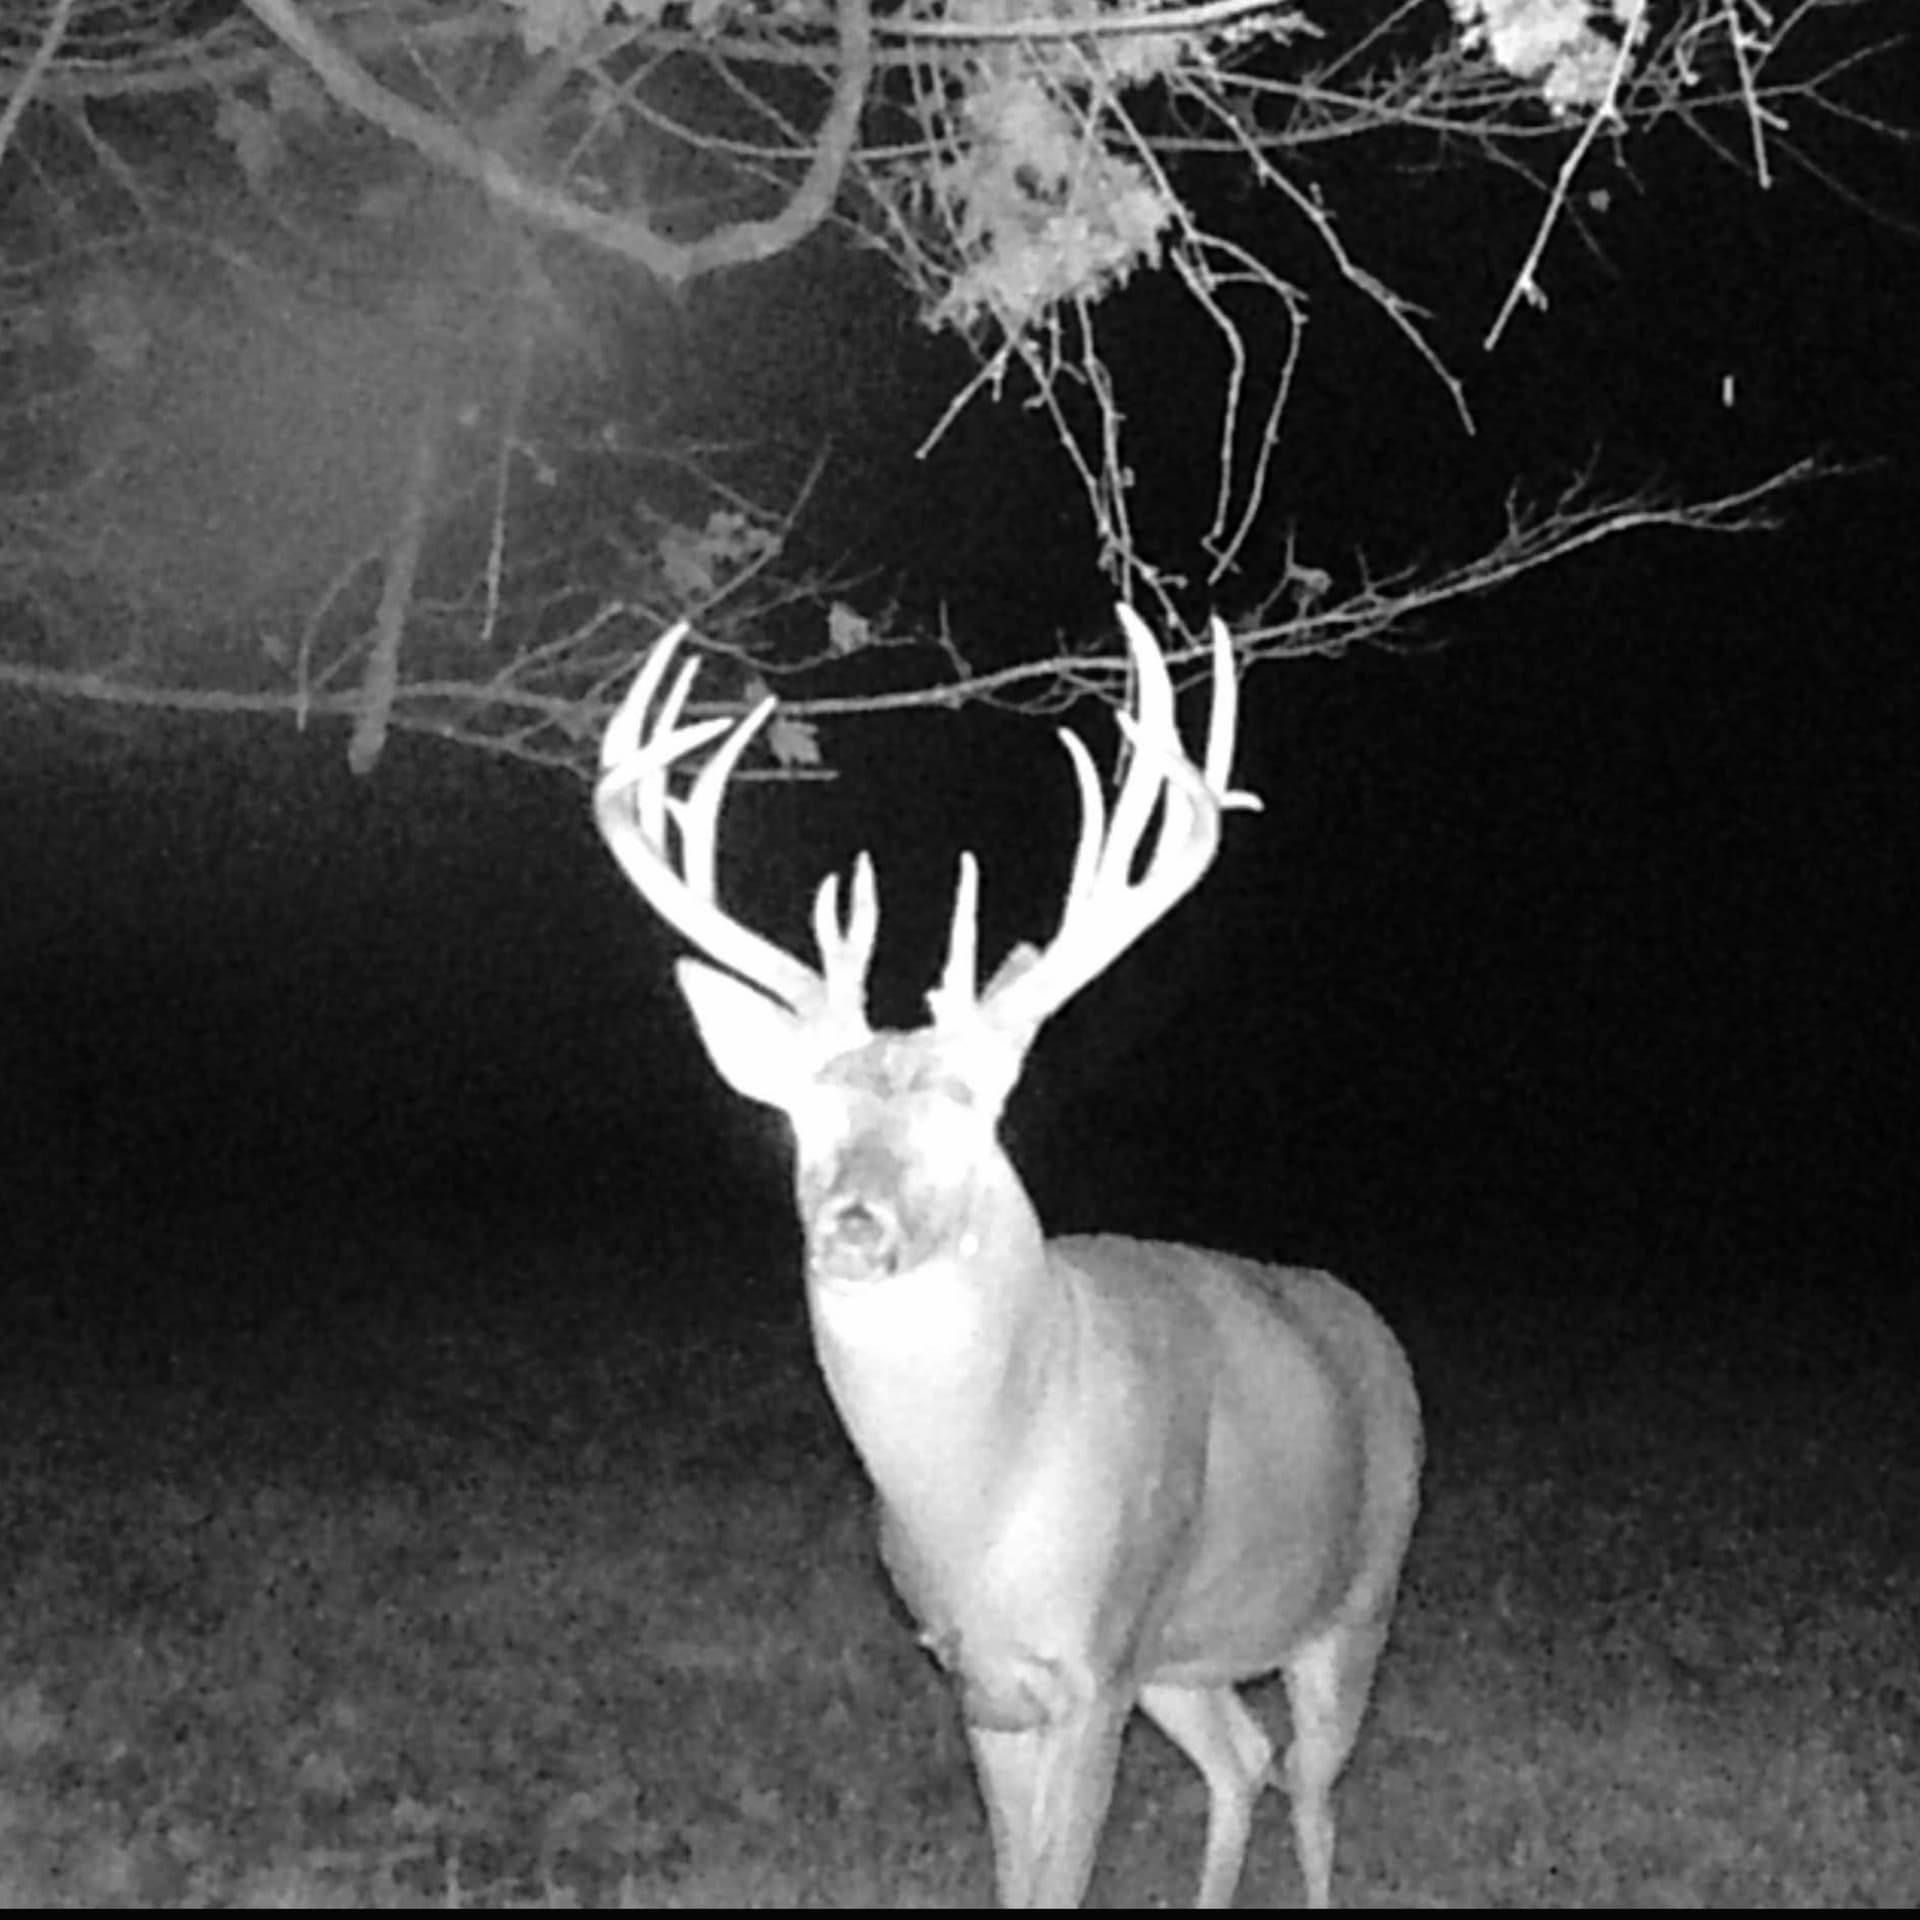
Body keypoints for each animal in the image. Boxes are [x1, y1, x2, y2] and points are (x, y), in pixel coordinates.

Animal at [593, 608, 1423, 1908]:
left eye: (976, 1115)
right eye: (802, 1120)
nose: (857, 1221)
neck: (981, 1511)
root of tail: (1366, 1321)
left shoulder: (1095, 1661)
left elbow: (1061, 1879)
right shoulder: (981, 1677)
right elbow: (1016, 1877)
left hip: (1355, 1595)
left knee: (1312, 1786)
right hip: (1184, 1655)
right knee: (1242, 1760)